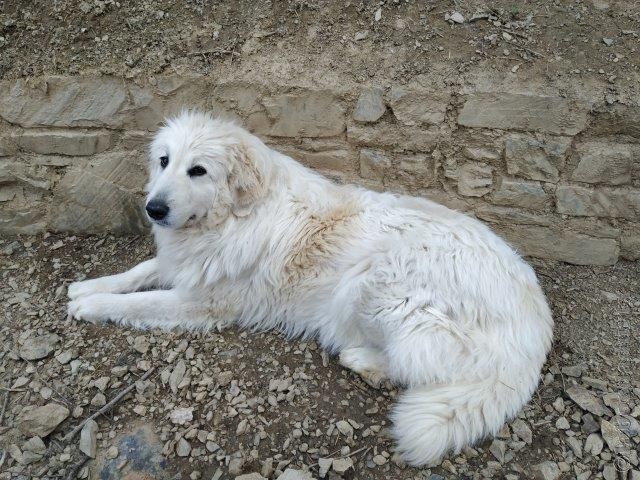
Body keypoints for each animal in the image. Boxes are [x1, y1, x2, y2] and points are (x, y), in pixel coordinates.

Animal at [67, 111, 552, 464]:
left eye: (198, 170)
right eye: (165, 161)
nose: (153, 208)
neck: (235, 217)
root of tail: (535, 330)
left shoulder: (200, 302)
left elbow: (141, 302)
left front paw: (92, 305)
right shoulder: (184, 265)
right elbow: (142, 270)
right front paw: (87, 286)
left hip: (374, 285)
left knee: (421, 366)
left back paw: (363, 360)